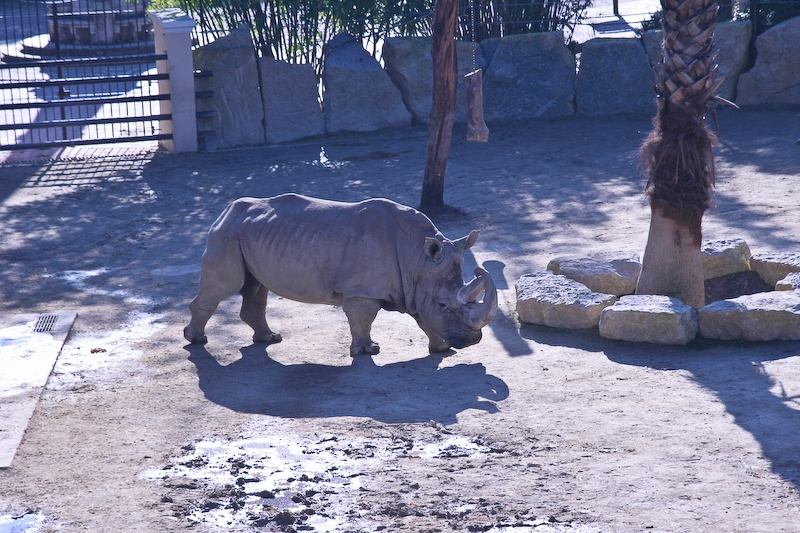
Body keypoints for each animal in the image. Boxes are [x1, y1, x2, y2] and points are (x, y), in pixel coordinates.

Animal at [184, 193, 497, 354]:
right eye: (444, 305)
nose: (473, 342)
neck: (418, 258)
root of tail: (224, 211)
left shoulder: (418, 286)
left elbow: (422, 317)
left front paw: (442, 349)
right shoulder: (361, 289)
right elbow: (364, 319)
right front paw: (368, 350)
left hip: (247, 235)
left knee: (256, 287)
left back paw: (270, 339)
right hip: (228, 234)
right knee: (225, 287)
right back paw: (196, 340)